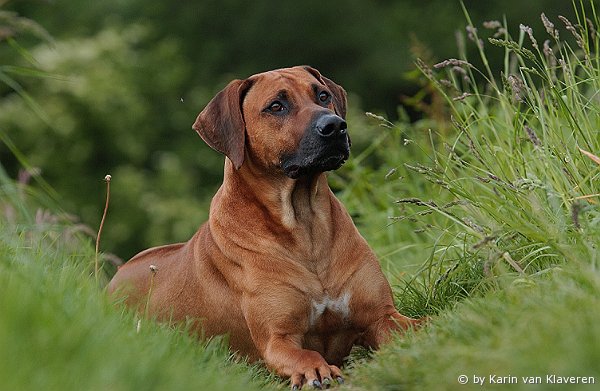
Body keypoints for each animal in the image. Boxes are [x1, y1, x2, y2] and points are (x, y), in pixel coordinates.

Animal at [110, 66, 424, 390]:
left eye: (323, 96)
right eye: (276, 106)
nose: (335, 125)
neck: (304, 224)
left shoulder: (381, 316)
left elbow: (408, 325)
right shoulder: (277, 339)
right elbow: (302, 354)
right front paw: (316, 370)